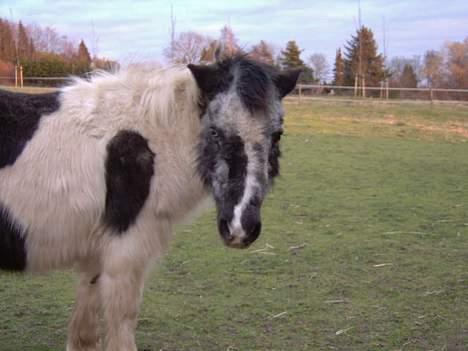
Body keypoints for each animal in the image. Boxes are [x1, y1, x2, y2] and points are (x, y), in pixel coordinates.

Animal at [0, 56, 300, 350]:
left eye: (277, 134)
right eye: (214, 132)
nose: (240, 228)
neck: (153, 141)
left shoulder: (96, 254)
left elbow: (85, 331)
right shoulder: (125, 253)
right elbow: (122, 326)